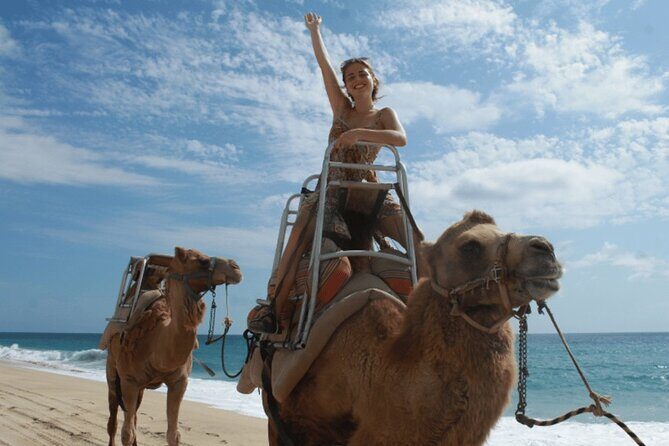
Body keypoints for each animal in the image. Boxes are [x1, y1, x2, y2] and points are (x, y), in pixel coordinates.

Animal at [104, 247, 242, 446]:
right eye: (202, 261)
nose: (236, 268)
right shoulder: (129, 380)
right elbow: (126, 434)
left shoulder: (179, 382)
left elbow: (173, 434)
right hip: (112, 371)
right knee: (114, 421)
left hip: (140, 387)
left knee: (134, 416)